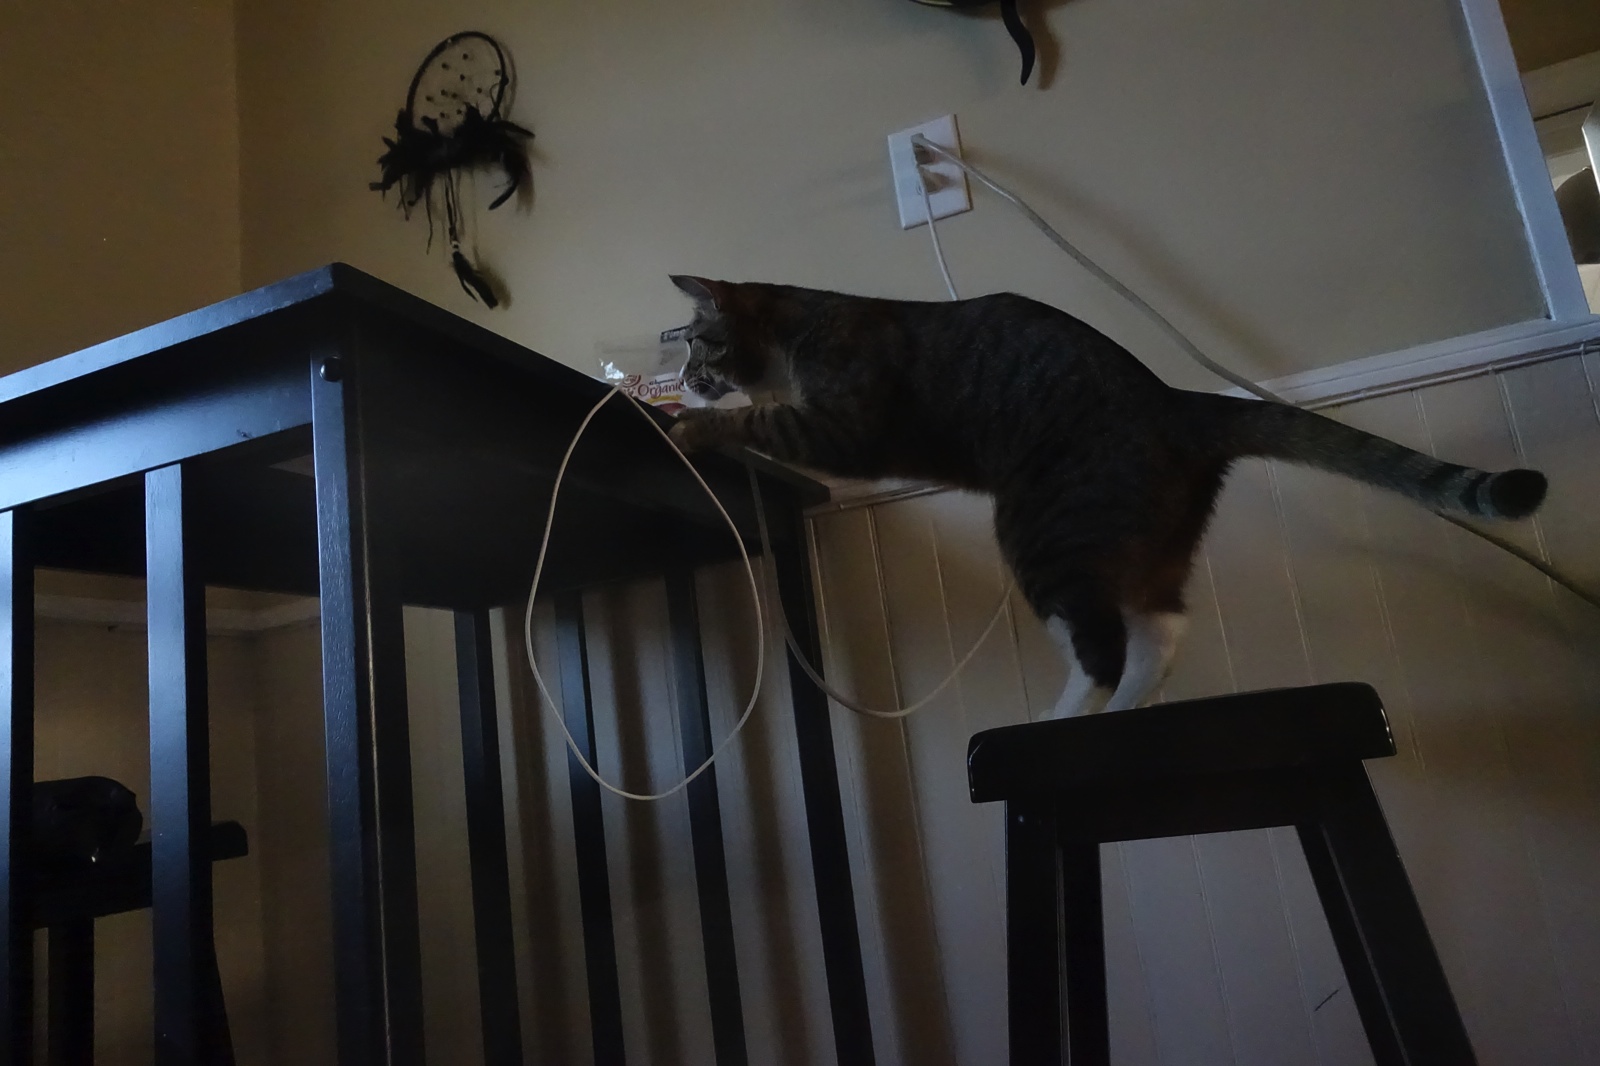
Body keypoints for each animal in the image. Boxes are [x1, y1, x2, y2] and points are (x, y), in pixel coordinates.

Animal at [664, 275, 1548, 719]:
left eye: (700, 344)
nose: (683, 380)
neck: (802, 324)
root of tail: (1174, 401)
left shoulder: (843, 421)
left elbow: (768, 421)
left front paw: (692, 427)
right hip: (1147, 535)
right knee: (1163, 627)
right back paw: (1129, 707)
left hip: (1042, 527)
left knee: (1103, 642)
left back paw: (1063, 721)